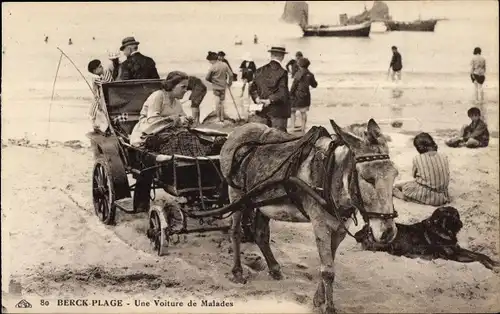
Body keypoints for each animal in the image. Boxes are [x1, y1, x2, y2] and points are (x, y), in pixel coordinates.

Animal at [354, 206, 498, 270]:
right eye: (449, 216)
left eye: (456, 215)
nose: (460, 223)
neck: (441, 231)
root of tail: (365, 230)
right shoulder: (454, 255)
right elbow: (477, 257)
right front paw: (489, 266)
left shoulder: (458, 250)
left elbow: (480, 255)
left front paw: (493, 262)